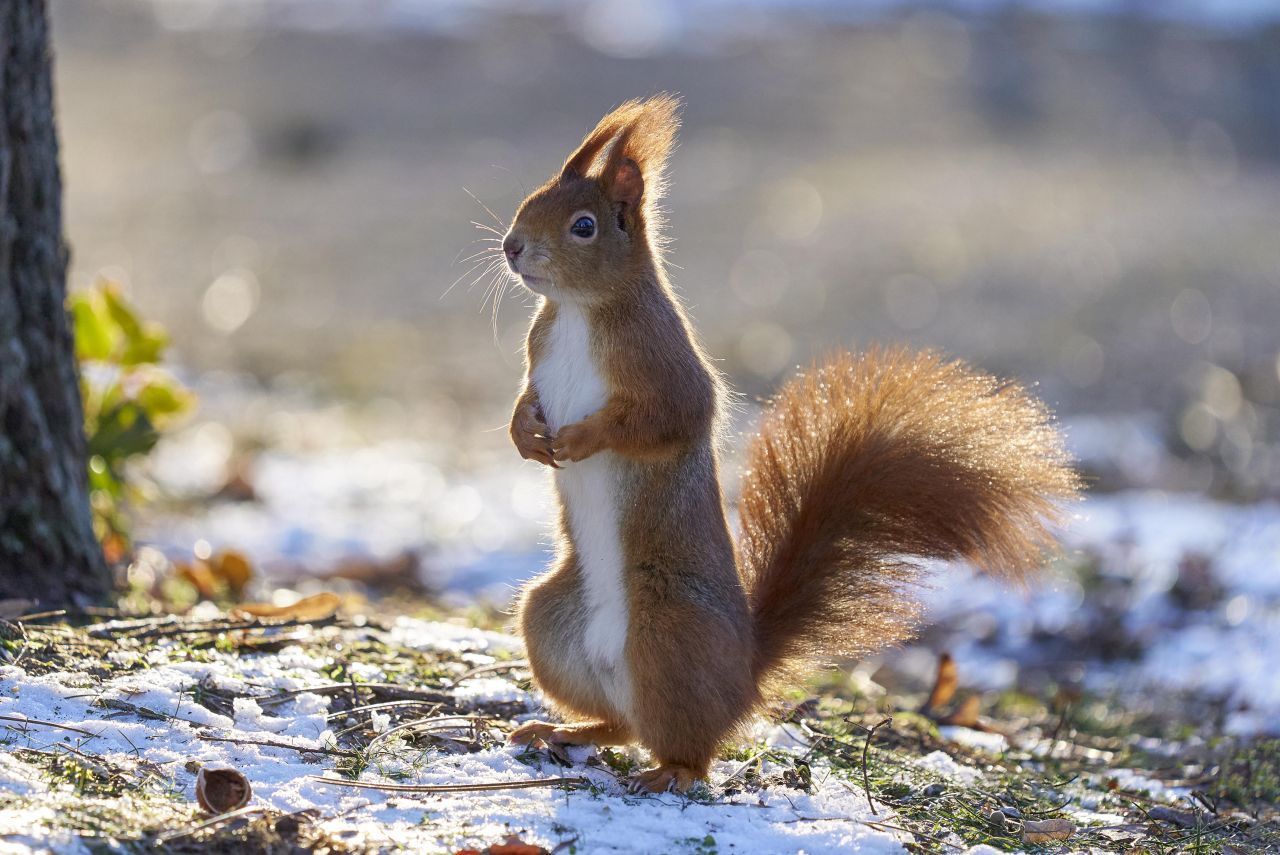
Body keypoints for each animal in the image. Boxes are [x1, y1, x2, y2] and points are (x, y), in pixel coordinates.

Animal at [494, 95, 1075, 793]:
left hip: (667, 632)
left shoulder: (667, 372)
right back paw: (558, 729)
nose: (512, 247)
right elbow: (526, 398)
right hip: (550, 622)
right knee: (622, 724)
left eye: (584, 226)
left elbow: (660, 421)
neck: (580, 311)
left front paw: (581, 438)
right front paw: (526, 434)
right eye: (531, 198)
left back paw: (670, 772)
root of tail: (742, 678)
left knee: (685, 743)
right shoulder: (538, 355)